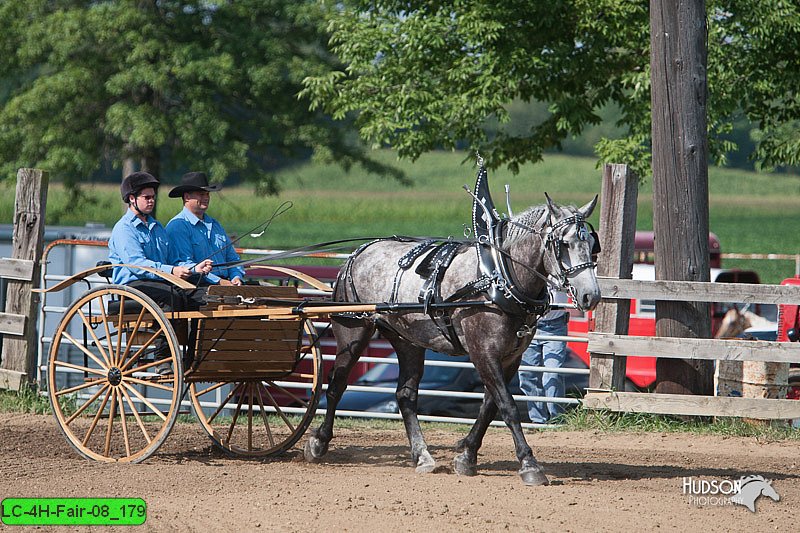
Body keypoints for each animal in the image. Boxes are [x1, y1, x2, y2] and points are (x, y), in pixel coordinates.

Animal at [304, 194, 600, 482]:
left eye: (591, 243)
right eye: (564, 244)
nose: (591, 295)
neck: (498, 276)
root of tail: (357, 254)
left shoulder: (510, 358)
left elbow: (489, 406)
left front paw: (467, 455)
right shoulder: (483, 353)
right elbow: (508, 406)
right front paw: (529, 464)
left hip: (408, 341)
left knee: (405, 395)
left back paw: (422, 455)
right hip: (353, 332)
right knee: (337, 385)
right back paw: (319, 442)